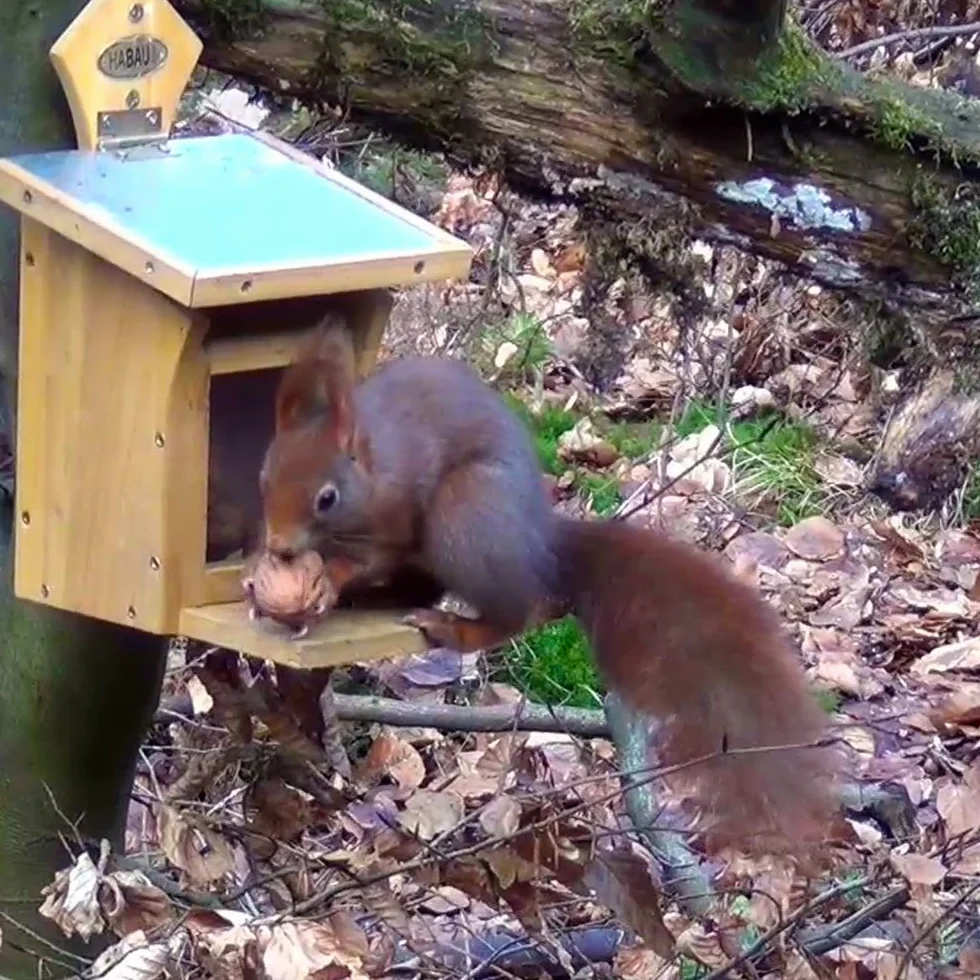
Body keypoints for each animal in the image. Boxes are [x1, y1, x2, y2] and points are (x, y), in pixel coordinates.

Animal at [248, 316, 840, 857]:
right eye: (262, 477)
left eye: (326, 497)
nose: (279, 547)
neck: (370, 463)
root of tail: (541, 549)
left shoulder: (392, 517)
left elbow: (367, 558)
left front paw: (326, 582)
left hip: (464, 518)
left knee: (515, 611)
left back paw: (452, 625)